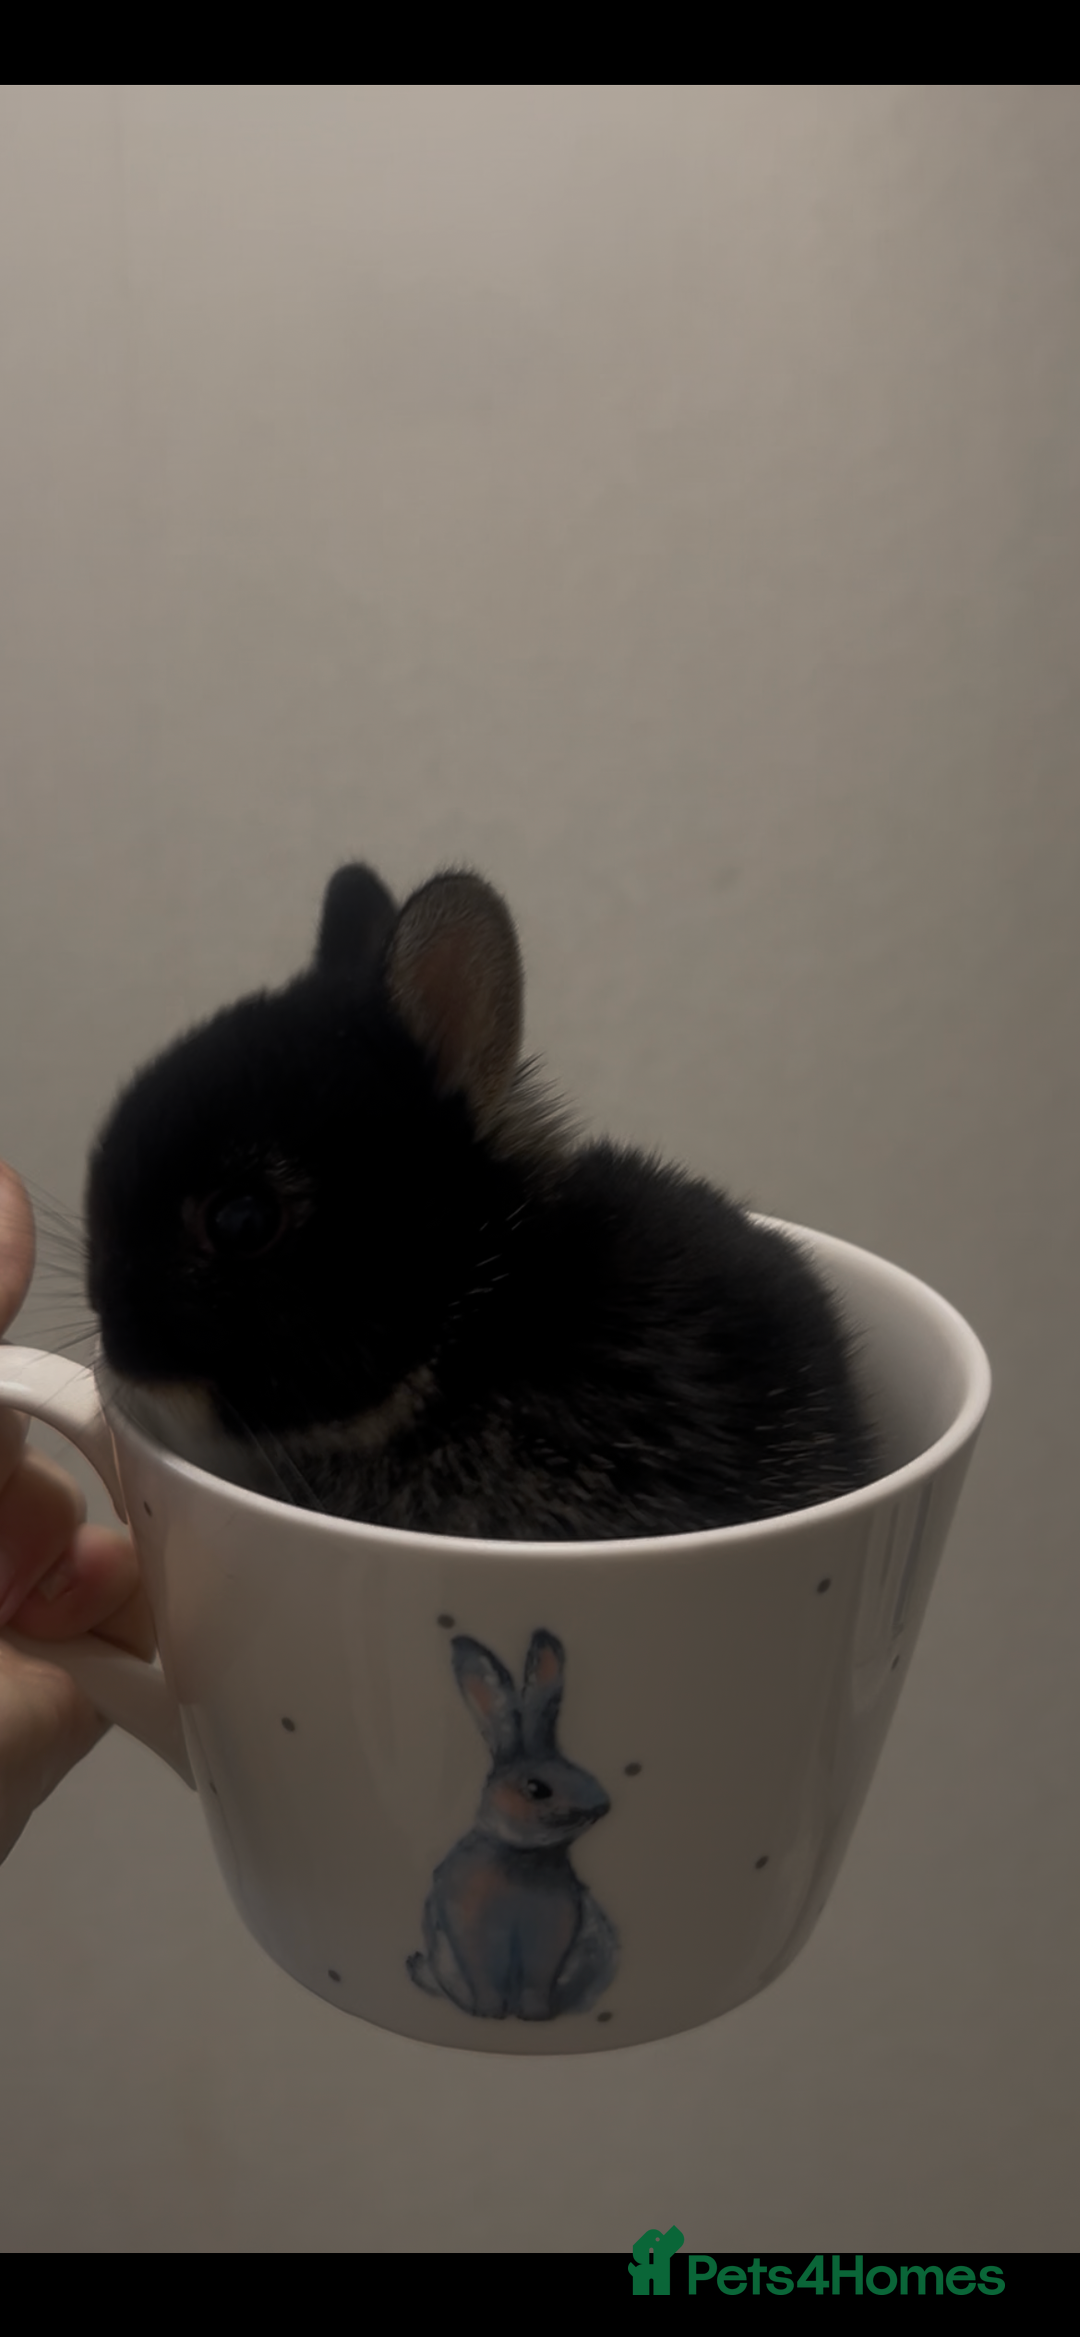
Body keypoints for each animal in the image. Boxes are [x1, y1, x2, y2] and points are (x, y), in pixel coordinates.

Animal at [407, 1628, 617, 2020]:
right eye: (537, 1789)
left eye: (574, 1768)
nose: (603, 1805)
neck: (520, 1856)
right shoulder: (473, 1936)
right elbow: (485, 1981)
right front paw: (490, 2013)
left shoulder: (549, 1942)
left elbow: (536, 1984)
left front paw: (533, 2015)